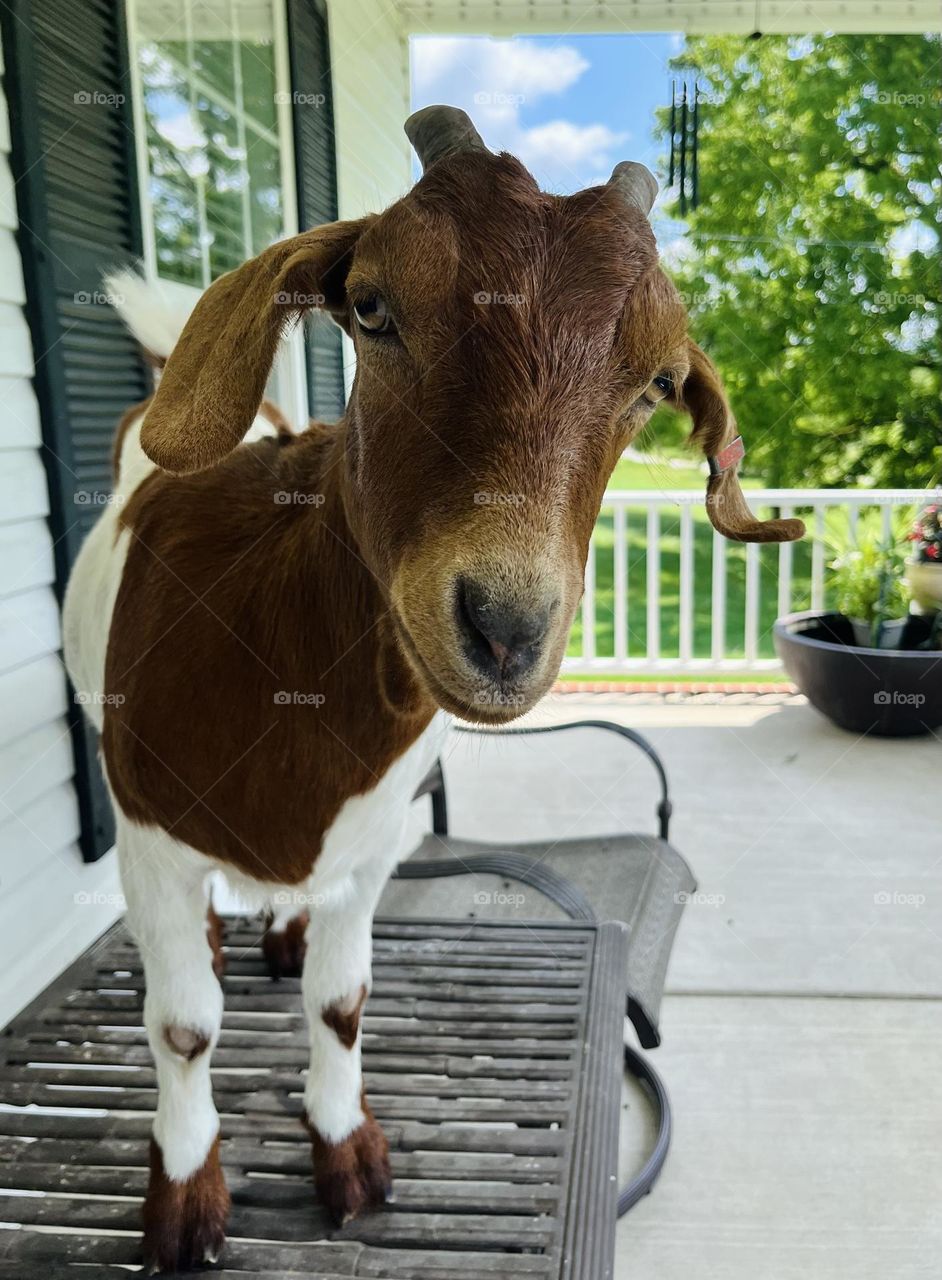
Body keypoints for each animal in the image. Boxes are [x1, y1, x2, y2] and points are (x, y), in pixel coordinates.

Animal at [63, 105, 804, 1273]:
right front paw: (183, 1196)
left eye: (654, 383)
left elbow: (342, 1001)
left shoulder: (372, 847)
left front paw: (347, 1151)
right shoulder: (148, 834)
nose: (505, 626)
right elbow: (183, 1026)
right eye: (371, 308)